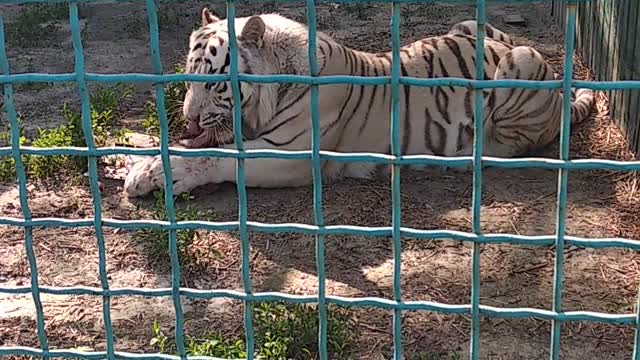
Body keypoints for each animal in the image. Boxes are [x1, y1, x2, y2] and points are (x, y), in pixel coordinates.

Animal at [121, 8, 596, 198]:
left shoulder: (292, 155)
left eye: (216, 84)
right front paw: (139, 153)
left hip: (520, 61)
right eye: (188, 79)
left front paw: (156, 173)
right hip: (471, 25)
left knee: (511, 144)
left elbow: (216, 156)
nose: (191, 120)